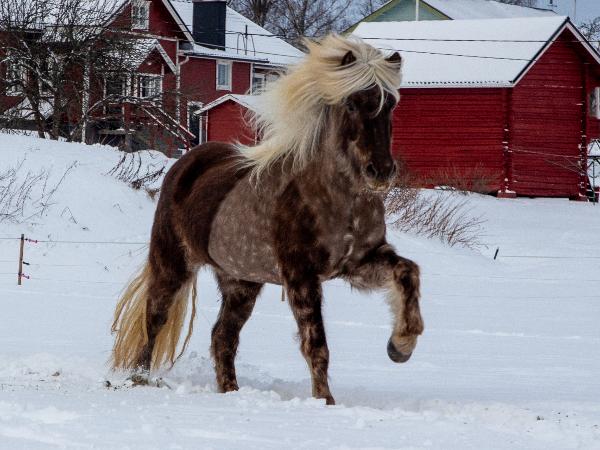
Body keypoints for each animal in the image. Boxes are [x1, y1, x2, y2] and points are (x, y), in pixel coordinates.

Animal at [110, 34, 424, 405]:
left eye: (390, 105)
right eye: (351, 104)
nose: (381, 171)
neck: (338, 199)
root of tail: (187, 162)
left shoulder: (360, 263)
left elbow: (408, 272)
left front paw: (401, 345)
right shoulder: (301, 275)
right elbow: (316, 345)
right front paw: (325, 402)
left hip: (240, 281)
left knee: (222, 337)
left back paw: (230, 392)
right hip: (172, 263)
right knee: (154, 321)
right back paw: (140, 379)